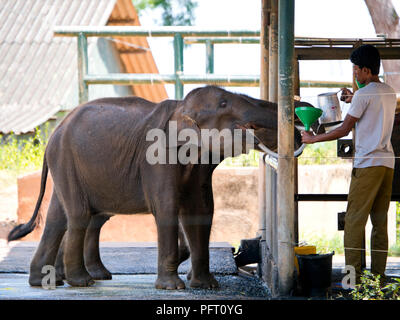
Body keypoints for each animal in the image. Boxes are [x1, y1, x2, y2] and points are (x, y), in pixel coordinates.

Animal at [8, 85, 310, 290]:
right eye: (224, 103)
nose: (300, 112)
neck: (181, 107)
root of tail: (55, 132)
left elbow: (202, 210)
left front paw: (205, 285)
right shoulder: (156, 156)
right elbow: (166, 207)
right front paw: (174, 287)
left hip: (68, 164)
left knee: (62, 216)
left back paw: (46, 280)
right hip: (67, 160)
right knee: (80, 215)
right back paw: (82, 282)